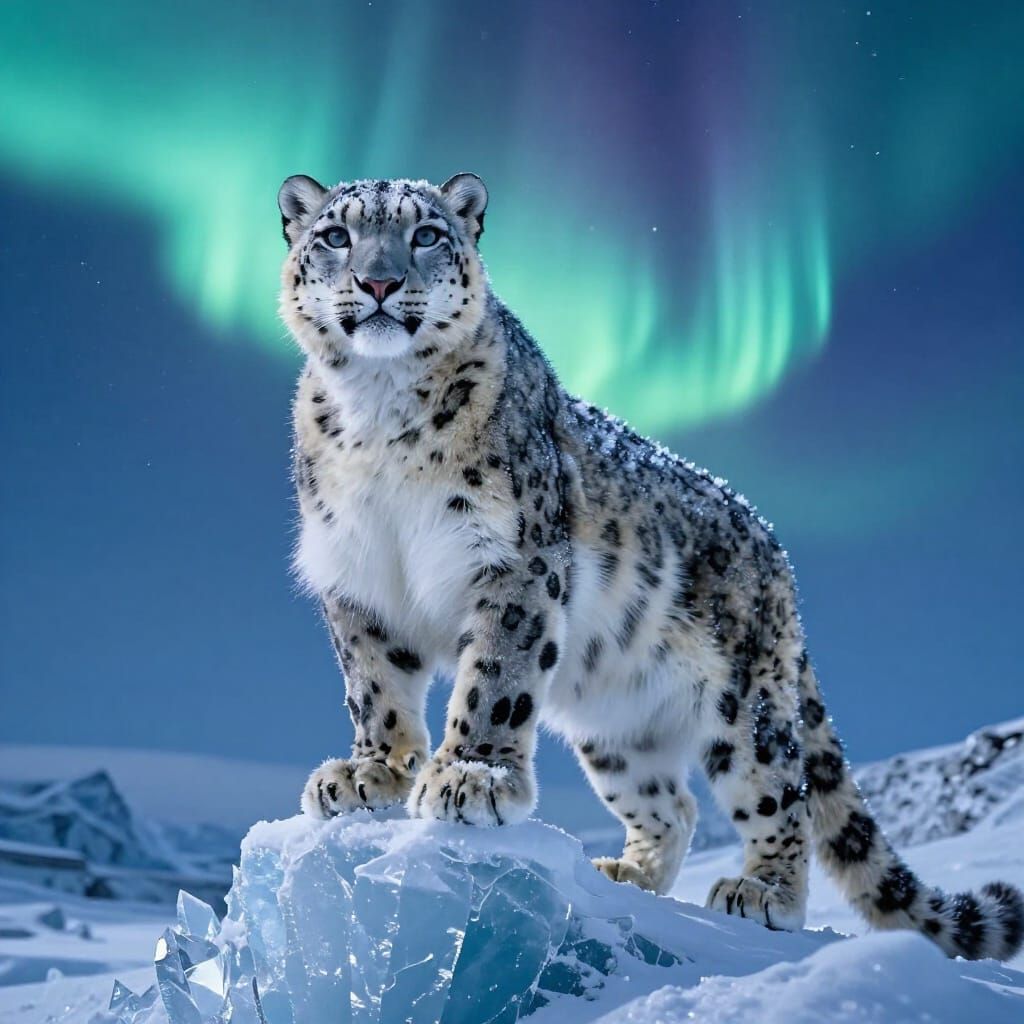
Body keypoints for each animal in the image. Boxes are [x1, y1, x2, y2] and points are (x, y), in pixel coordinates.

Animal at [278, 171, 1023, 961]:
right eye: (336, 236)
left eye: (425, 234)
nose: (378, 281)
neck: (378, 416)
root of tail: (776, 552)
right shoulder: (357, 580)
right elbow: (376, 687)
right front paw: (370, 773)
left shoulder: (514, 565)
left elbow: (495, 679)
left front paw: (470, 778)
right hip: (617, 728)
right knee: (674, 804)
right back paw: (625, 873)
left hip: (746, 703)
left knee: (778, 792)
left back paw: (762, 892)